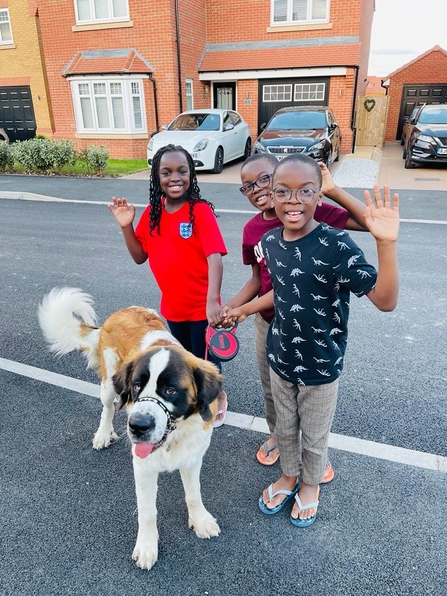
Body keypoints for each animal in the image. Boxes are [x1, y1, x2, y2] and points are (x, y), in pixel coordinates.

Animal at [37, 286, 223, 572]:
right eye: (137, 386)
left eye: (171, 391)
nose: (137, 426)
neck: (172, 438)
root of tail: (121, 312)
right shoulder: (143, 466)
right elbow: (147, 510)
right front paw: (147, 546)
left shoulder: (192, 456)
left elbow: (194, 493)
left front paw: (200, 520)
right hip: (109, 383)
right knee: (108, 407)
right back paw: (103, 434)